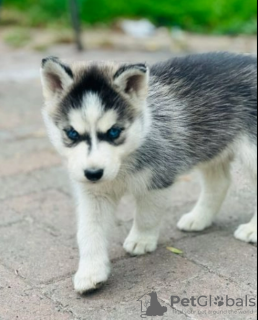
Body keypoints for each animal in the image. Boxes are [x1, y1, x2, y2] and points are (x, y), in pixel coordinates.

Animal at [39, 53, 256, 296]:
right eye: (72, 133)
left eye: (114, 132)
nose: (93, 173)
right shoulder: (94, 194)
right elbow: (88, 231)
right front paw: (90, 271)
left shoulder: (157, 180)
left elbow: (146, 216)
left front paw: (141, 240)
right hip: (211, 143)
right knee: (219, 182)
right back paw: (199, 218)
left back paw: (251, 230)